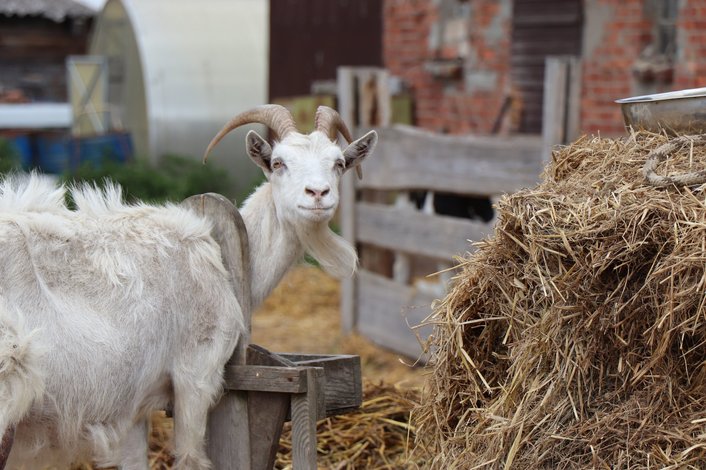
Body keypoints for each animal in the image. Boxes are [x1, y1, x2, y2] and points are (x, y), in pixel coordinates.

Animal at [1, 104, 374, 468]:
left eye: (339, 163)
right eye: (279, 162)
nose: (318, 194)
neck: (221, 259)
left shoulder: (133, 403)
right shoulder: (197, 373)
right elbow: (190, 457)